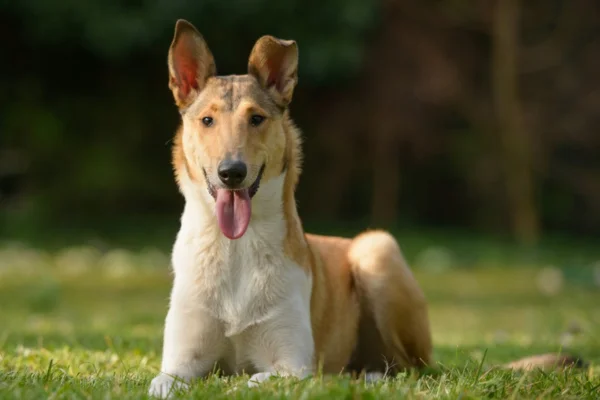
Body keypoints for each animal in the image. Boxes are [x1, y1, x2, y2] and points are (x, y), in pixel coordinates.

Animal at [149, 18, 584, 396]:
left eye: (256, 118)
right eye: (207, 120)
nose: (231, 173)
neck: (236, 247)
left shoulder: (292, 365)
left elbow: (248, 380)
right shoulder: (179, 365)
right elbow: (164, 383)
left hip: (377, 252)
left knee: (412, 369)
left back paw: (369, 376)